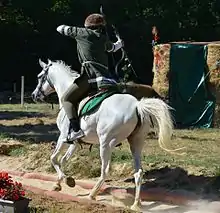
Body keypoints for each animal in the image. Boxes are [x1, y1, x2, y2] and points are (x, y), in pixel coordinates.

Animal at [32, 58, 177, 211]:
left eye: (39, 77)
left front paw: (66, 180)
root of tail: (137, 105)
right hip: (136, 142)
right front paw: (60, 183)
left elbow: (54, 158)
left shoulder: (63, 137)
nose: (34, 95)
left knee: (105, 170)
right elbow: (63, 160)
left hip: (106, 143)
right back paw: (136, 204)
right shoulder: (75, 142)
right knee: (138, 172)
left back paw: (92, 194)